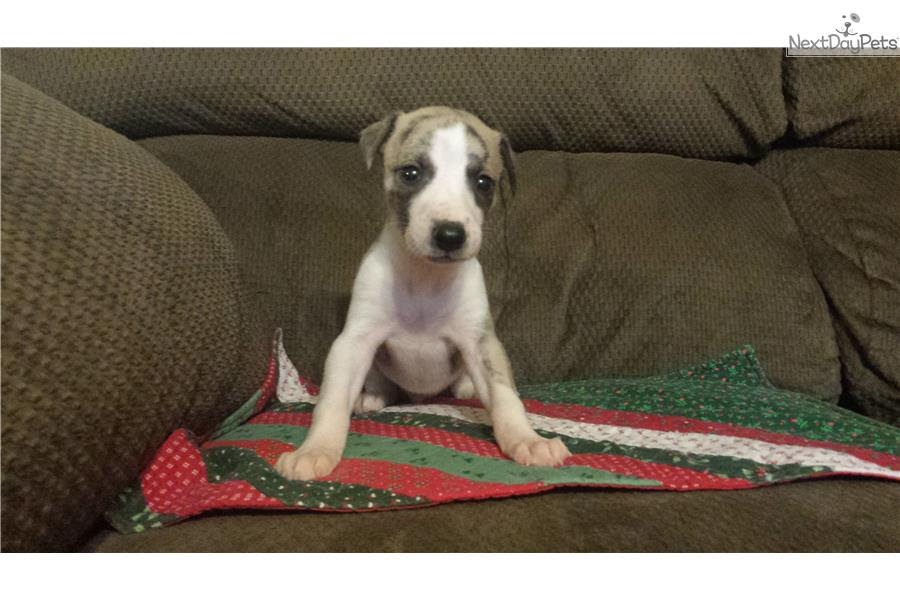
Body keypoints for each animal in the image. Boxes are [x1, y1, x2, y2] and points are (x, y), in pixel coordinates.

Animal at [275, 106, 571, 481]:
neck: (425, 276)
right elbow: (332, 401)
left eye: (483, 182)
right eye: (411, 173)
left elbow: (505, 395)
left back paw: (466, 387)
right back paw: (370, 397)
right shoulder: (354, 341)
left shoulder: (480, 341)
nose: (450, 235)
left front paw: (528, 440)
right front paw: (314, 450)